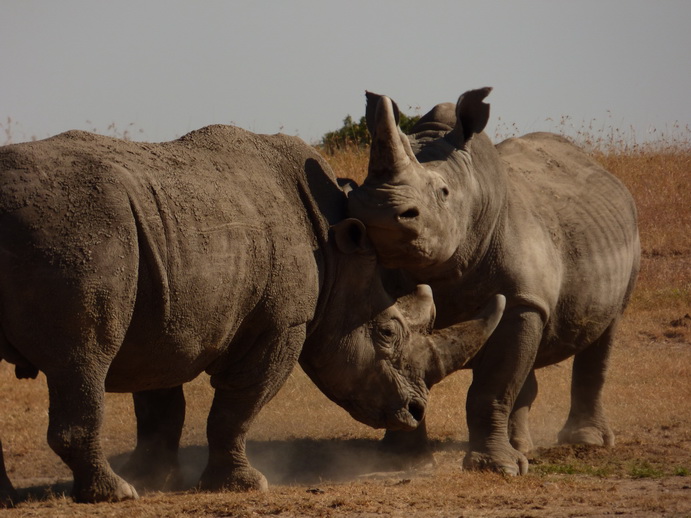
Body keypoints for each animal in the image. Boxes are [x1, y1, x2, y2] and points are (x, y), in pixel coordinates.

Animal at [0, 124, 508, 506]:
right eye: (387, 332)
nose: (415, 411)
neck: (341, 251)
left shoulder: (170, 310)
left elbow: (161, 404)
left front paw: (155, 479)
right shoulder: (283, 324)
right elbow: (238, 405)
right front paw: (244, 485)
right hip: (81, 233)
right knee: (83, 359)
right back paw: (115, 494)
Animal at [352, 88, 644, 476]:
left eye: (443, 192)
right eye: (361, 186)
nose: (380, 212)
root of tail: (606, 174)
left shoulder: (522, 300)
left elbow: (491, 387)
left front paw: (497, 468)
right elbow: (404, 367)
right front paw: (400, 461)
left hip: (628, 237)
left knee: (605, 331)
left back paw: (585, 442)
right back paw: (523, 447)